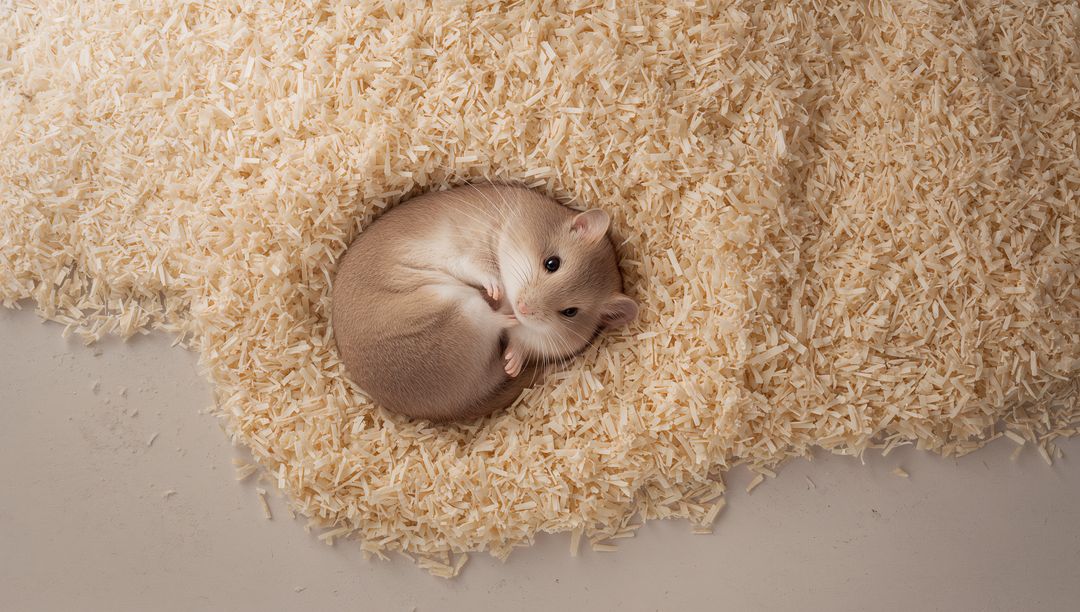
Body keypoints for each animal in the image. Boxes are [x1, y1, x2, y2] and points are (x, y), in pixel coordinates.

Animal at [331, 183, 638, 422]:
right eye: (552, 263)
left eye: (570, 312)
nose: (524, 308)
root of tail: (465, 402)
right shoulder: (471, 249)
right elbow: (480, 269)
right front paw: (495, 288)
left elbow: (524, 340)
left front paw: (513, 359)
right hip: (460, 307)